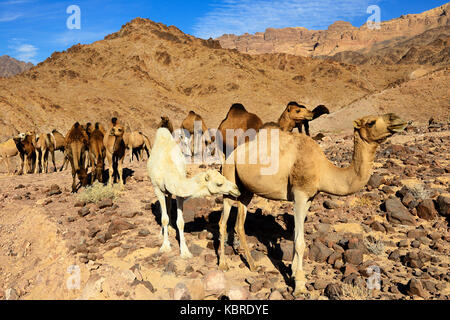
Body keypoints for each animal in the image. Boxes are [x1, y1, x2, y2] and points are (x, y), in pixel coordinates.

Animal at [148, 127, 241, 258]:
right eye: (219, 184)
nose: (236, 189)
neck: (168, 170)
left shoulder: (179, 192)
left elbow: (180, 222)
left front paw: (185, 251)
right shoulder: (158, 189)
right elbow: (164, 218)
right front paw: (165, 246)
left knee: (169, 202)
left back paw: (170, 229)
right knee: (163, 210)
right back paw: (162, 233)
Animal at [218, 113, 408, 298]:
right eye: (371, 122)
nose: (398, 119)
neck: (323, 169)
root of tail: (231, 155)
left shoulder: (310, 198)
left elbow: (296, 237)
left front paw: (294, 273)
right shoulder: (299, 194)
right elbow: (300, 242)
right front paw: (300, 287)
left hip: (246, 191)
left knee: (239, 224)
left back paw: (252, 265)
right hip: (229, 178)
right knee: (223, 221)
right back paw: (223, 265)